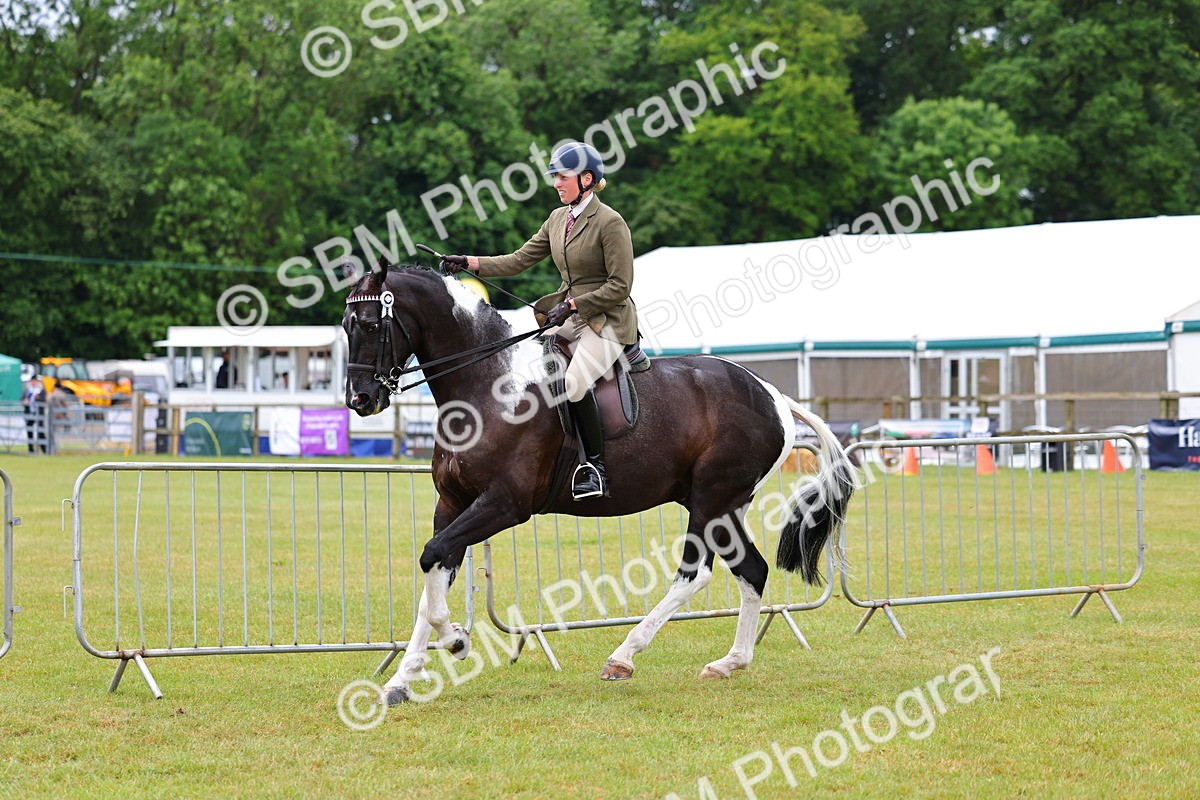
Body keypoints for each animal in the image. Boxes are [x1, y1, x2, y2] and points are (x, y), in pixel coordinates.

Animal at [343, 263, 855, 704]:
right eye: (346, 326)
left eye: (368, 325)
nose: (360, 400)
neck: (488, 383)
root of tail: (773, 395)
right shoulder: (452, 503)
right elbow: (434, 570)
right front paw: (402, 681)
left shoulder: (504, 504)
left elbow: (434, 559)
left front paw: (457, 642)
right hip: (725, 508)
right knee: (752, 570)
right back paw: (729, 662)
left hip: (712, 501)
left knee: (694, 574)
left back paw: (623, 657)